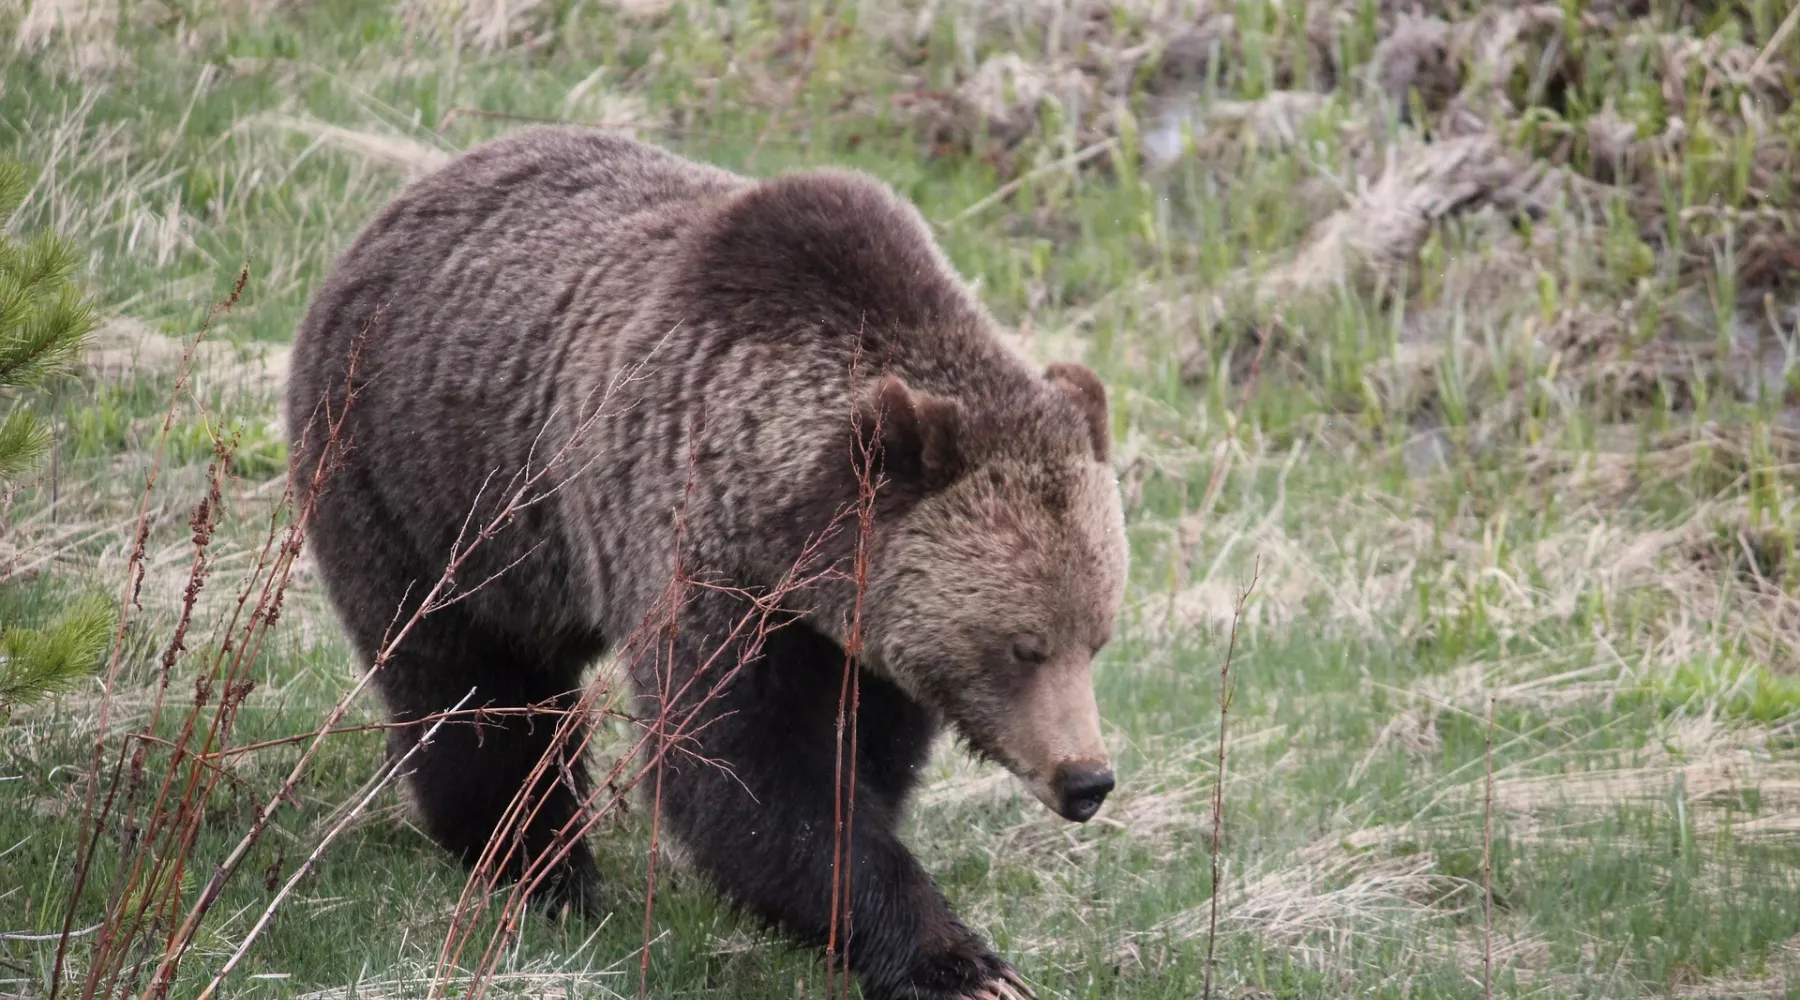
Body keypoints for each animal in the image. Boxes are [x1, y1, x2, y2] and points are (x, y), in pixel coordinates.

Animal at [284, 126, 1123, 1000]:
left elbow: (857, 758)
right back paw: (540, 869)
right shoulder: (697, 545)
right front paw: (964, 964)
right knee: (472, 692)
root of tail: (403, 202)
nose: (1087, 780)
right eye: (1024, 646)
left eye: (1097, 639)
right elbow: (740, 767)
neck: (787, 527)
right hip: (418, 489)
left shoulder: (851, 634)